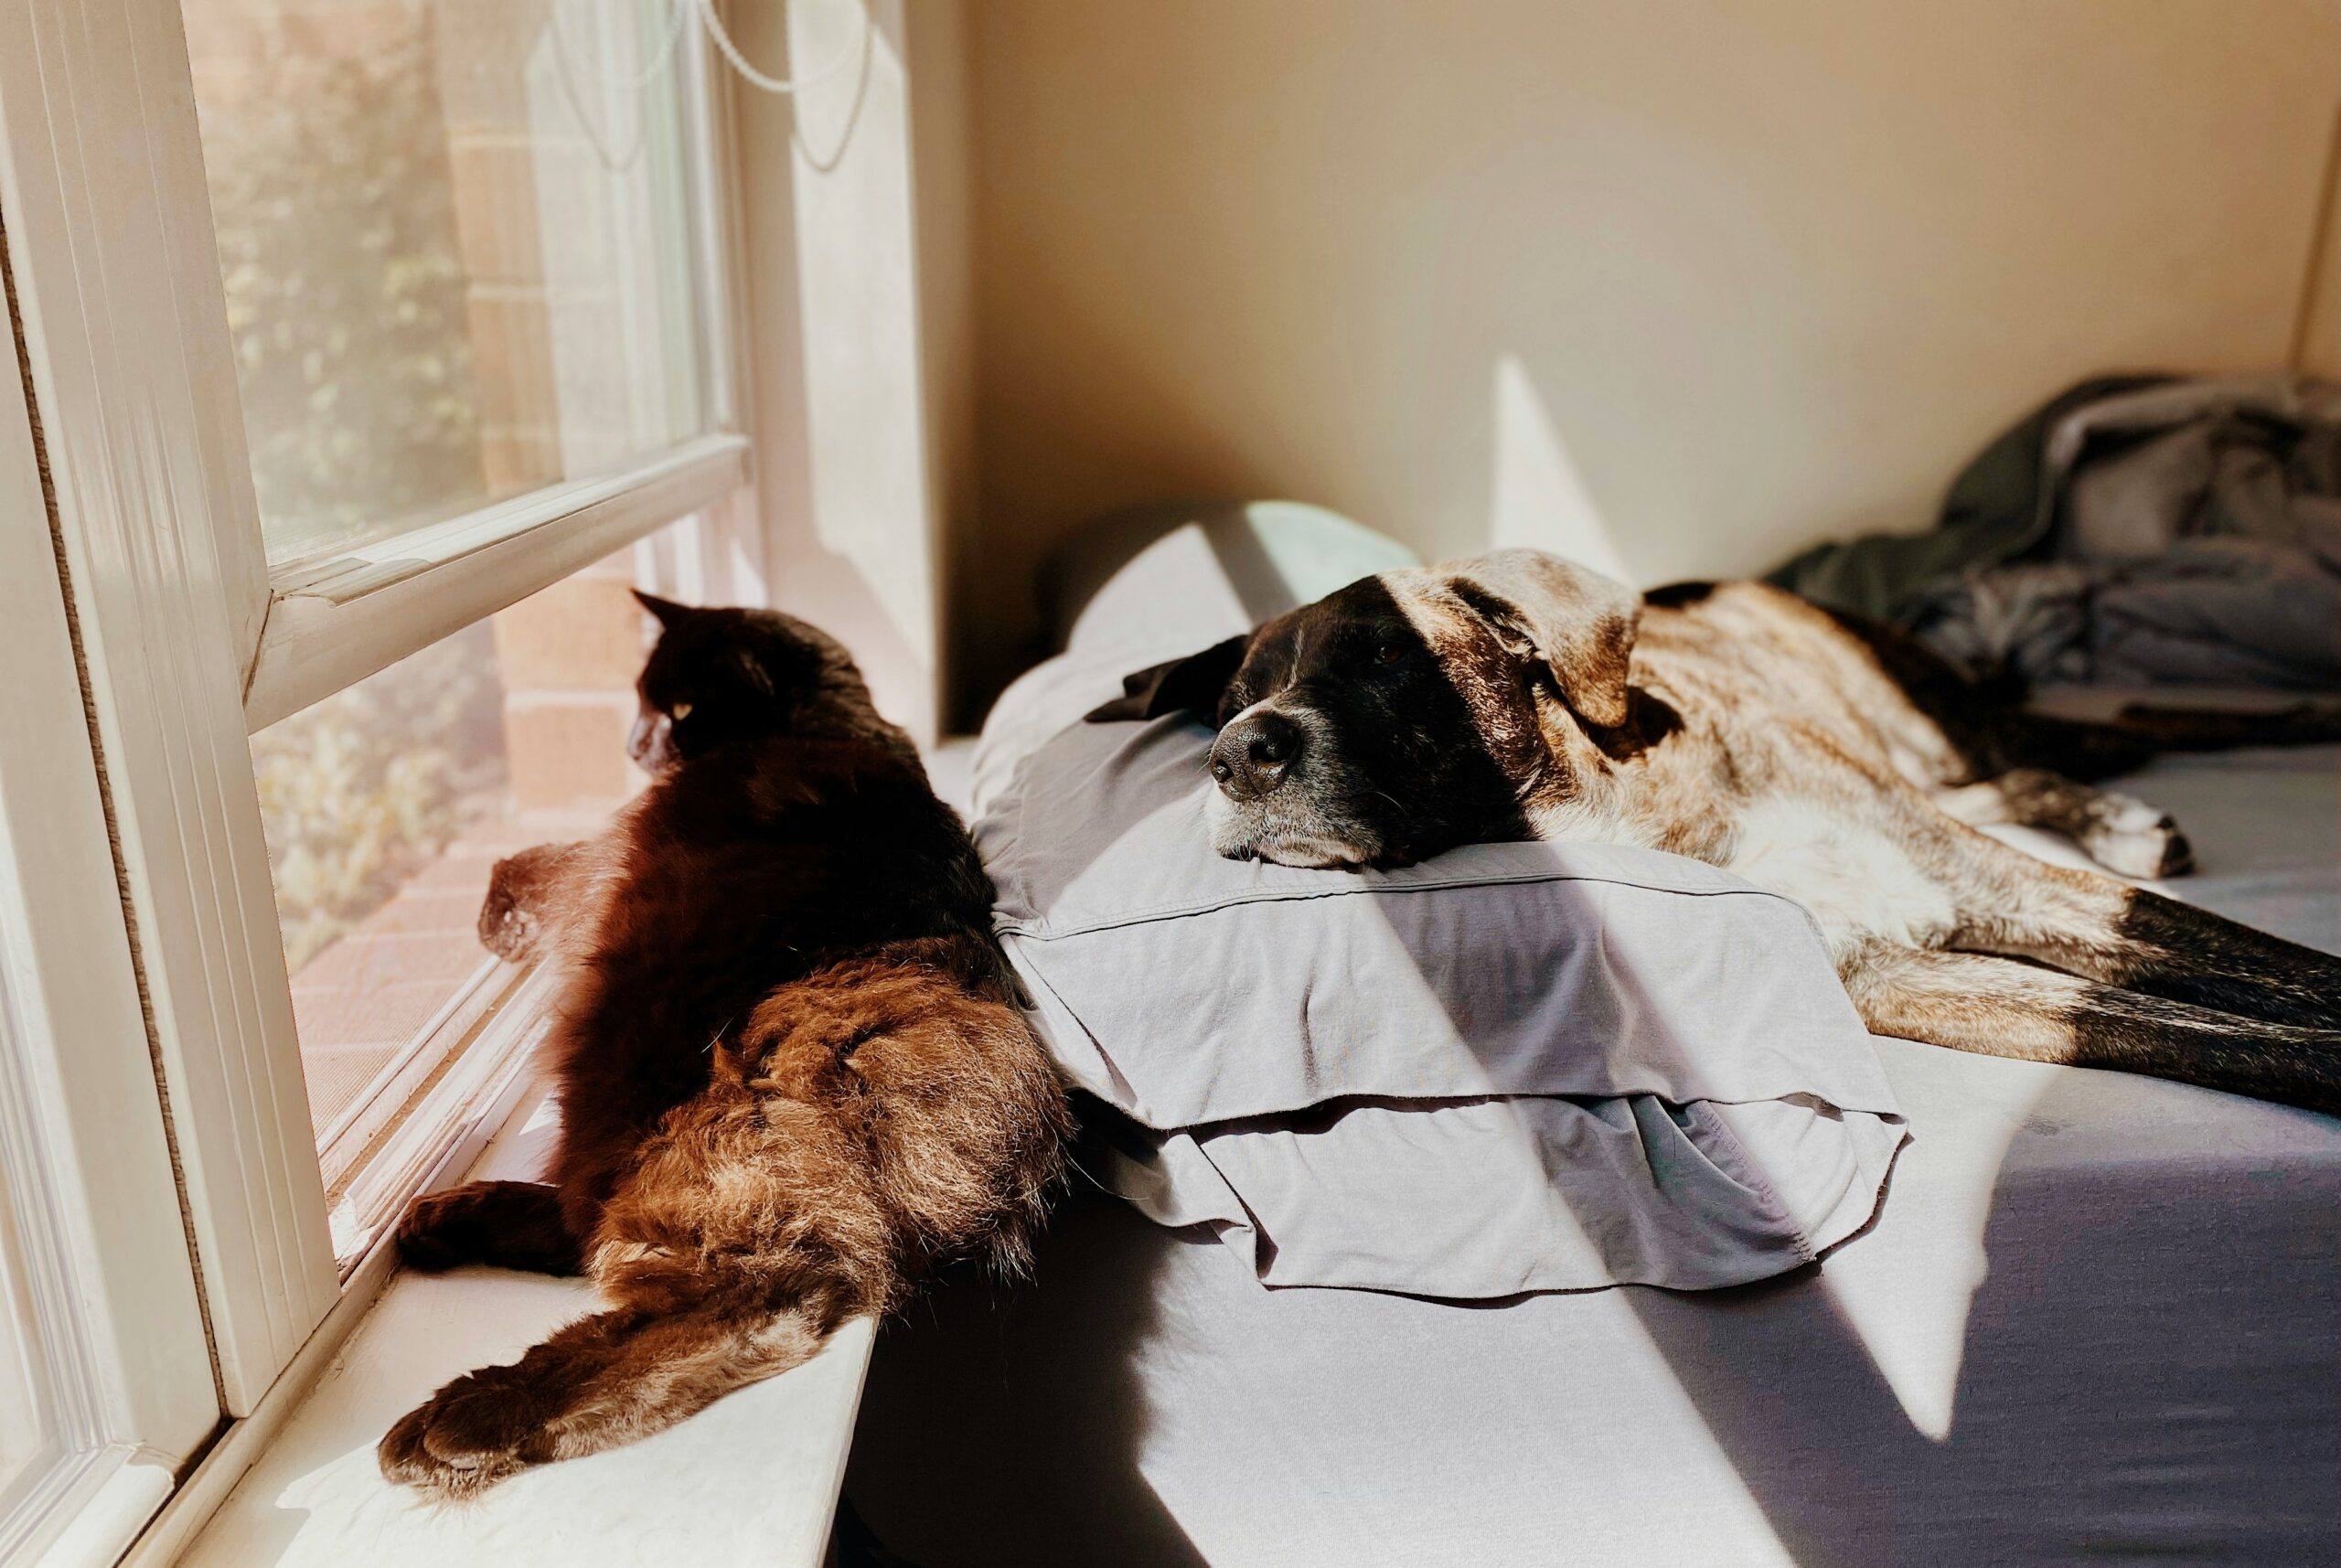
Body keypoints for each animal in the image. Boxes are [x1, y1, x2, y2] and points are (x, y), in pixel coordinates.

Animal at [1090, 552, 2341, 1118]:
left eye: (1391, 655)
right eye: (1230, 697)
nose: (1236, 752)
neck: (1639, 815)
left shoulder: (2017, 888)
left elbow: (2285, 976)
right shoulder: (1910, 976)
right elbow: (2205, 1034)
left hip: (1951, 726)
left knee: (2122, 730)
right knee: (2023, 773)